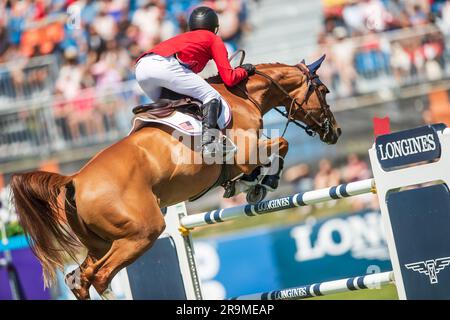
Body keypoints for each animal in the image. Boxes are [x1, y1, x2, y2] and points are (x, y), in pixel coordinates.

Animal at [9, 56, 342, 298]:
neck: (242, 95)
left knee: (79, 278)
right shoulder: (246, 153)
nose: (336, 132)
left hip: (102, 243)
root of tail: (74, 179)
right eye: (325, 91)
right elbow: (281, 145)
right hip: (141, 233)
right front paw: (260, 184)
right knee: (100, 276)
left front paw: (241, 185)